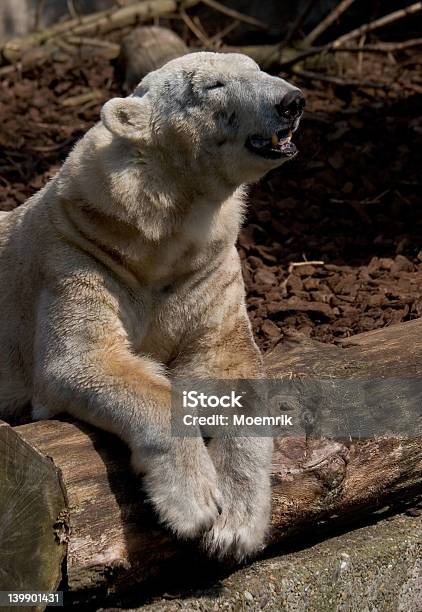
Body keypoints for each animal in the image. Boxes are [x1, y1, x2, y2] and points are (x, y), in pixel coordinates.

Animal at [0, 51, 304, 560]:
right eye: (213, 86)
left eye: (256, 67)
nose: (291, 101)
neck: (156, 239)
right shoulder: (77, 257)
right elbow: (86, 360)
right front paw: (195, 505)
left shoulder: (207, 266)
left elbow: (228, 363)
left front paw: (237, 524)